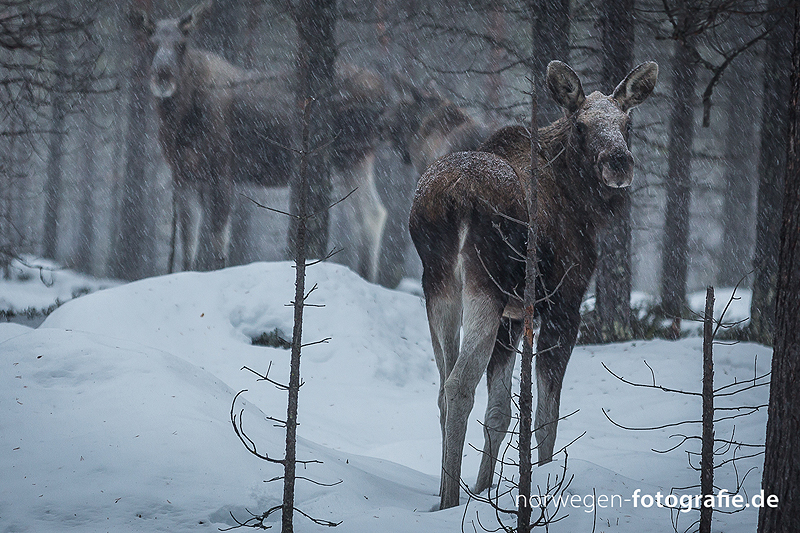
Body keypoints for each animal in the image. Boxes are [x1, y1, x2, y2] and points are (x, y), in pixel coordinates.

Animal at [132, 2, 388, 278]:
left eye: (182, 44)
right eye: (151, 44)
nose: (163, 76)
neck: (180, 122)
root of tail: (383, 91)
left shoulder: (223, 168)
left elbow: (218, 240)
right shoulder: (183, 174)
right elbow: (188, 242)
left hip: (351, 155)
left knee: (369, 216)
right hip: (352, 159)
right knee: (371, 215)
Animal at [410, 58, 660, 508]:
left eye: (627, 122)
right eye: (580, 124)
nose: (618, 162)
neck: (582, 203)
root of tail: (452, 198)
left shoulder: (513, 317)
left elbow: (500, 412)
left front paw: (484, 489)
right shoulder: (565, 304)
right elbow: (546, 415)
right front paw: (542, 479)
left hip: (437, 285)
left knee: (441, 386)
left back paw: (443, 495)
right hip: (484, 285)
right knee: (458, 385)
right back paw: (450, 501)